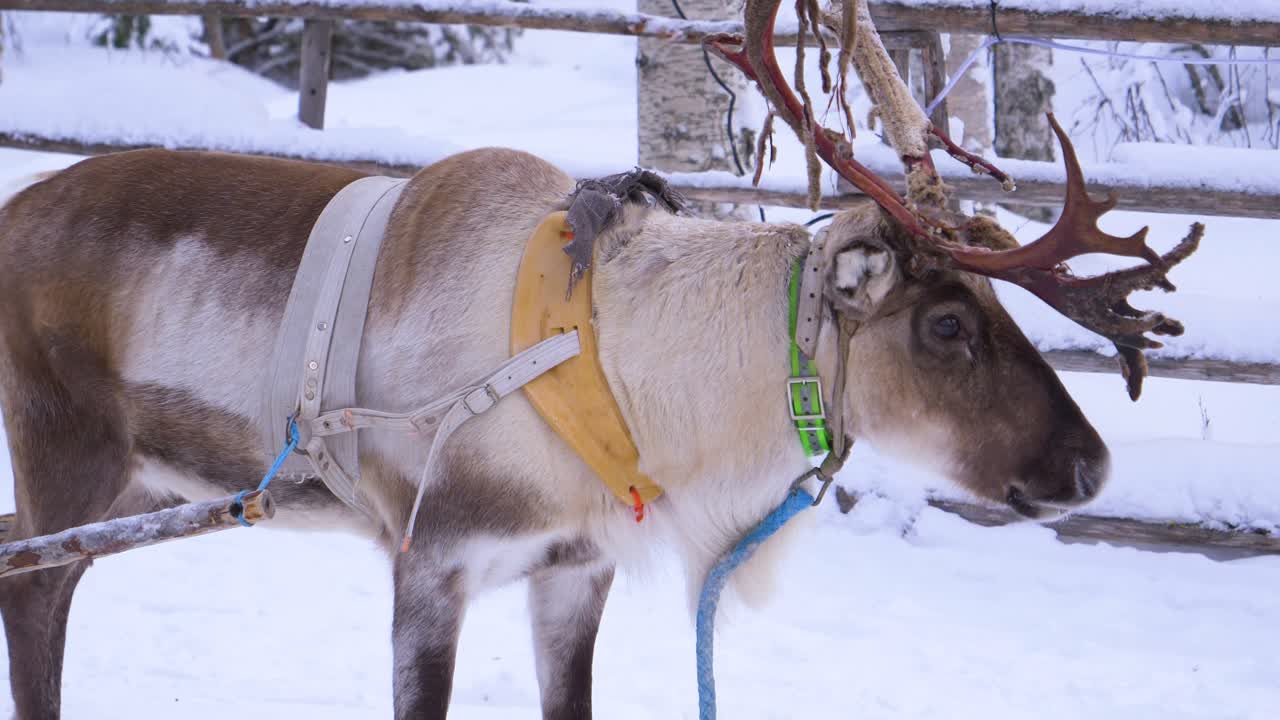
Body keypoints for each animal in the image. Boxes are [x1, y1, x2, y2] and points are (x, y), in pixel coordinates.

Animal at [0, 0, 1199, 717]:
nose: (1089, 467)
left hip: (145, 479)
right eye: (947, 325)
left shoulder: (574, 569)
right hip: (71, 451)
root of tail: (11, 211)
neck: (630, 370)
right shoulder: (431, 562)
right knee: (35, 581)